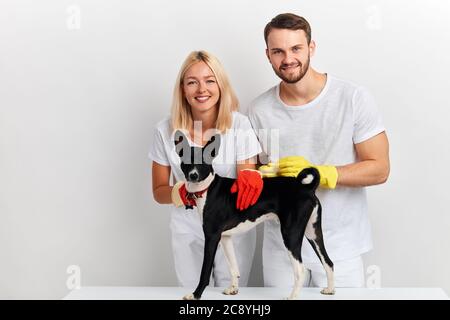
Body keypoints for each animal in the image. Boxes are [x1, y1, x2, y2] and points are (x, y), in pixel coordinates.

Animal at [174, 130, 336, 300]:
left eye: (203, 161)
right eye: (186, 161)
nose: (193, 175)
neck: (207, 189)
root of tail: (306, 188)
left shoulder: (211, 237)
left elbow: (204, 272)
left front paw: (195, 295)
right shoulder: (225, 237)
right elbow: (233, 267)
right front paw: (233, 289)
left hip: (291, 234)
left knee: (300, 269)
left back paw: (292, 296)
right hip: (313, 233)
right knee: (328, 262)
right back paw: (330, 289)